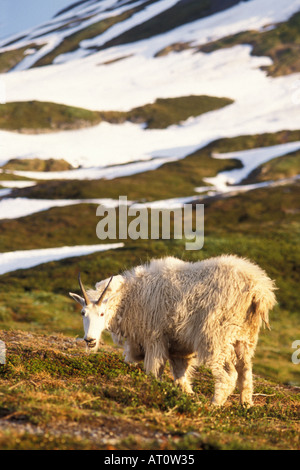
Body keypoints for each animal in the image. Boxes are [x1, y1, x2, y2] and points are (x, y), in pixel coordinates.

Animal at [69, 255, 276, 406]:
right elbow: (180, 375)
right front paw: (187, 395)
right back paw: (246, 406)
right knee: (245, 373)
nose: (90, 340)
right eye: (83, 313)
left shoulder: (154, 338)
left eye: (102, 313)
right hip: (244, 338)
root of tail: (259, 291)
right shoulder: (178, 347)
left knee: (228, 375)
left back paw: (214, 405)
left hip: (216, 337)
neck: (130, 296)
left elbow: (153, 372)